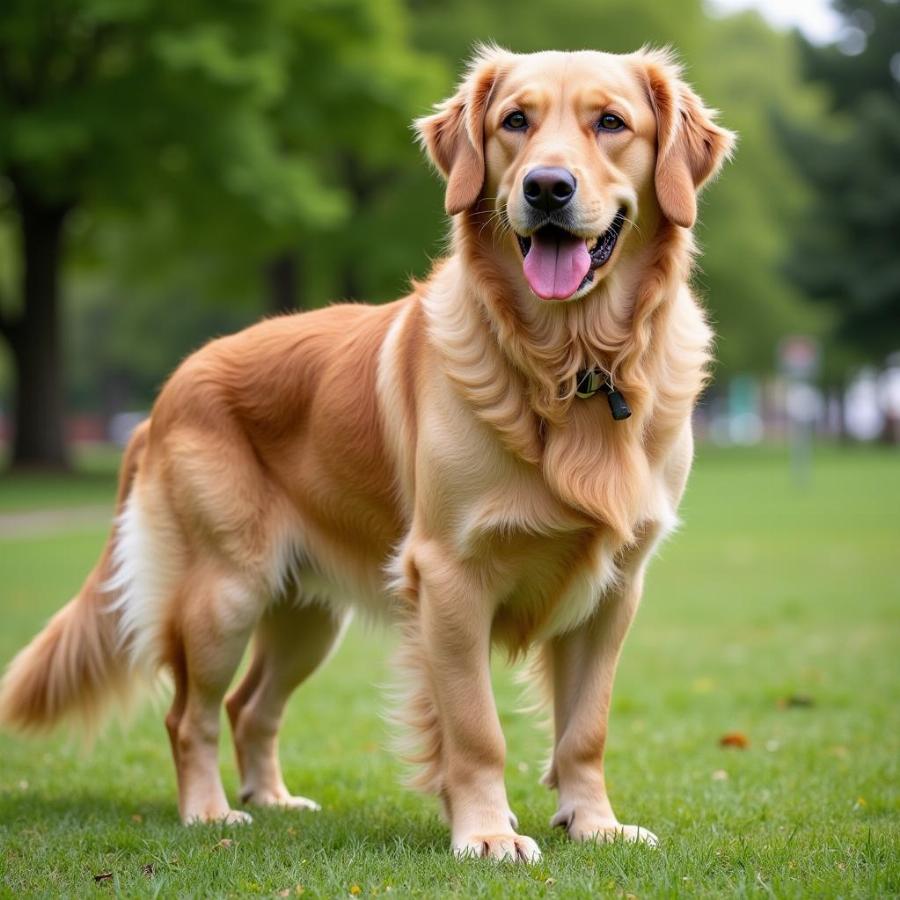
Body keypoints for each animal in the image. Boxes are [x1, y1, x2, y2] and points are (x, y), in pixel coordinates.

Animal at [0, 45, 732, 860]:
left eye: (611, 123)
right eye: (515, 121)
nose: (546, 187)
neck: (570, 366)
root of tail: (166, 394)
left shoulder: (616, 586)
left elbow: (585, 729)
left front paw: (594, 823)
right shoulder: (449, 577)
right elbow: (476, 729)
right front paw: (487, 833)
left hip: (306, 617)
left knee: (250, 706)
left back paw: (273, 798)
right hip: (225, 592)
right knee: (188, 713)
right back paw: (211, 812)